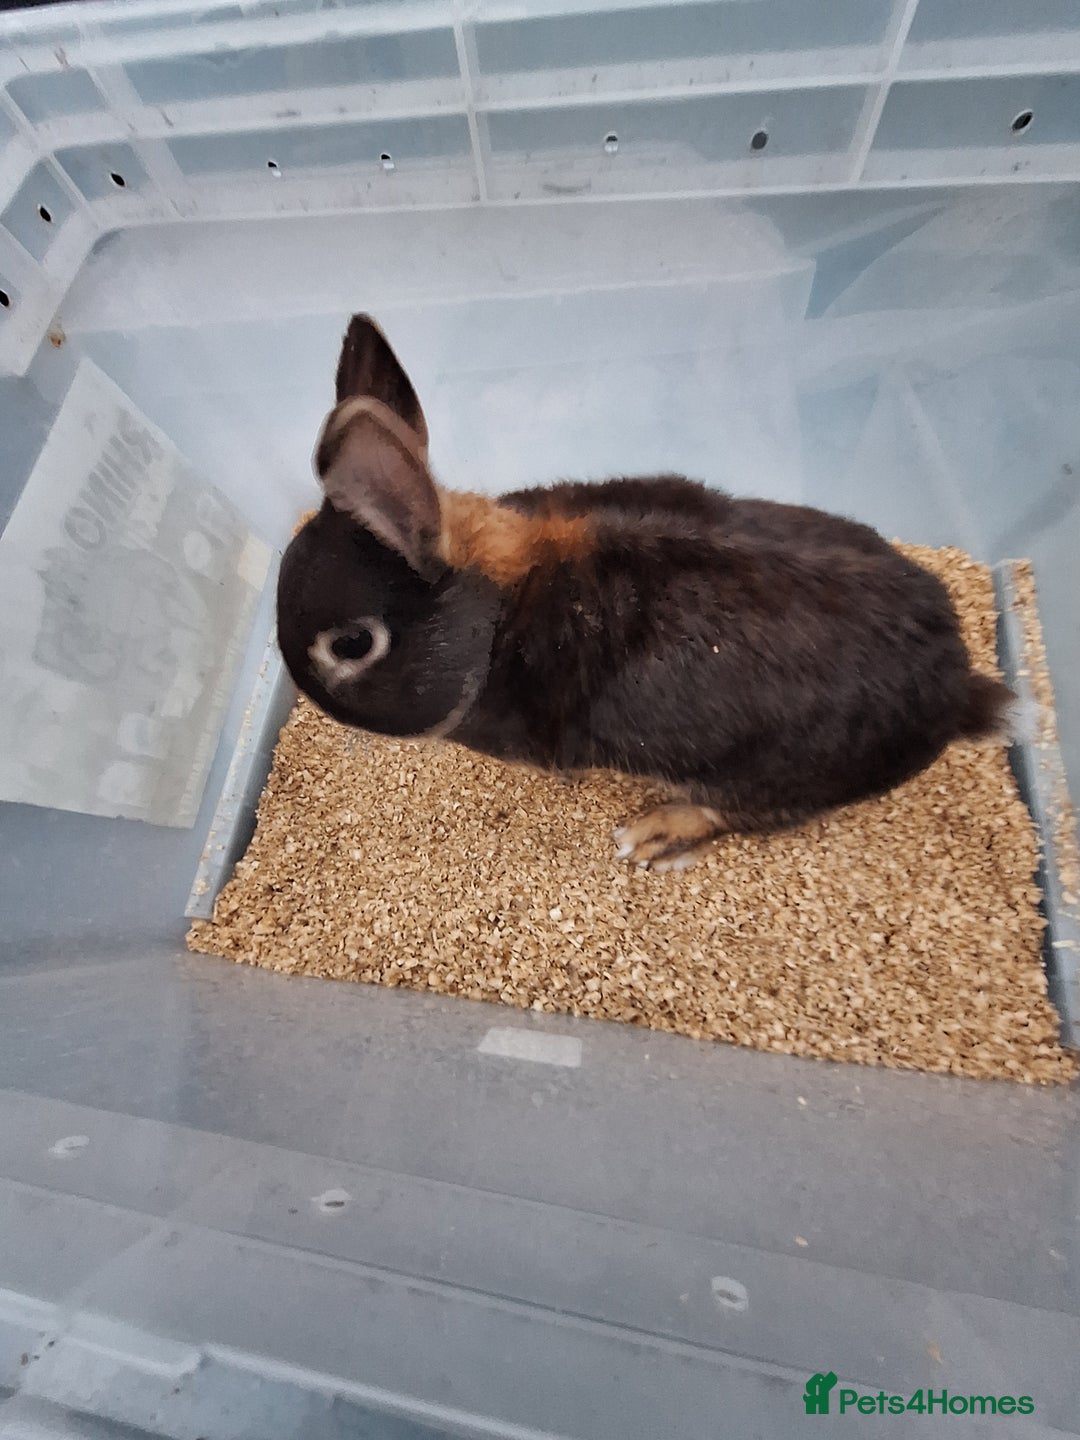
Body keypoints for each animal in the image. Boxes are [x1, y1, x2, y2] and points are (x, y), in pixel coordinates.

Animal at [276, 315, 1014, 871]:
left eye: (351, 644)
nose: (306, 696)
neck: (495, 620)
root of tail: (959, 691)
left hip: (771, 778)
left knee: (731, 815)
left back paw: (651, 836)